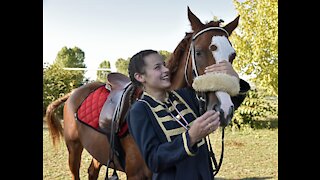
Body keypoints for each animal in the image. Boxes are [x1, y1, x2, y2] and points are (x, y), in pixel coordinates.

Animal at [46, 6, 239, 179]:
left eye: (232, 56)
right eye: (198, 52)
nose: (224, 108)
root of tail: (73, 93)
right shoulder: (135, 175)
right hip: (74, 148)